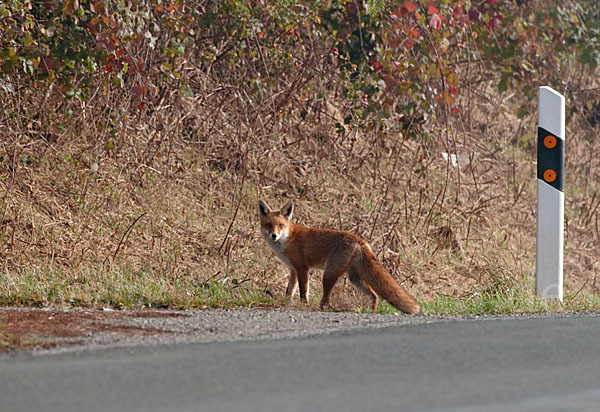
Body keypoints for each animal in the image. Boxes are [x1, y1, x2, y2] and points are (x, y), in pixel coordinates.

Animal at [258, 201, 422, 314]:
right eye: (269, 225)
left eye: (280, 225)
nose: (274, 235)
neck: (287, 240)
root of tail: (359, 240)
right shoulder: (293, 269)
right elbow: (289, 291)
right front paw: (287, 304)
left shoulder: (302, 269)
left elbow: (303, 292)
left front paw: (303, 305)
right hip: (355, 279)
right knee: (375, 295)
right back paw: (372, 311)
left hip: (328, 275)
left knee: (326, 299)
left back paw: (321, 309)